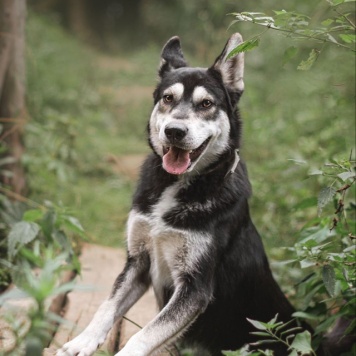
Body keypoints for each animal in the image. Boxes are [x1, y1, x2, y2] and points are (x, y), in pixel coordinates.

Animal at [57, 33, 322, 356]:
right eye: (168, 98)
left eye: (206, 103)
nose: (174, 131)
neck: (178, 185)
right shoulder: (138, 262)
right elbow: (106, 307)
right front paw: (81, 342)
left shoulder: (195, 288)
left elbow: (144, 334)